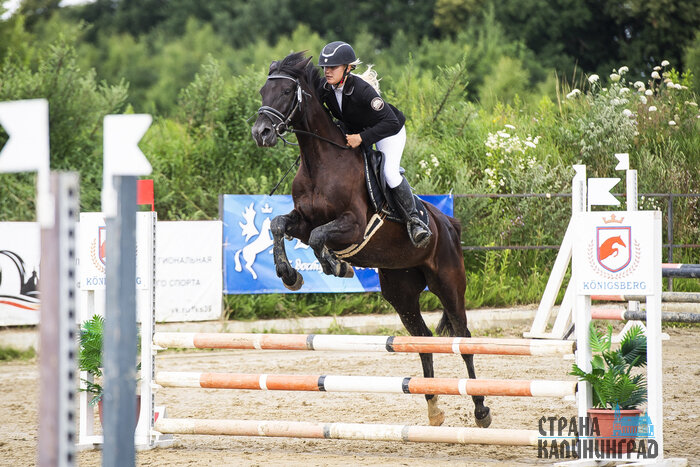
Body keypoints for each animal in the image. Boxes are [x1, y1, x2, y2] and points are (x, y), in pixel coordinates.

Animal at [250, 51, 491, 428]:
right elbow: (278, 225)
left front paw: (336, 266)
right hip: (401, 291)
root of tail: (448, 223)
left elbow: (320, 237)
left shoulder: (353, 224)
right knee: (422, 339)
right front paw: (291, 276)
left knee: (462, 338)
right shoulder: (301, 221)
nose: (260, 133)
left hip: (449, 283)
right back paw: (433, 407)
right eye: (263, 91)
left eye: (286, 93)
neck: (321, 160)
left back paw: (481, 409)